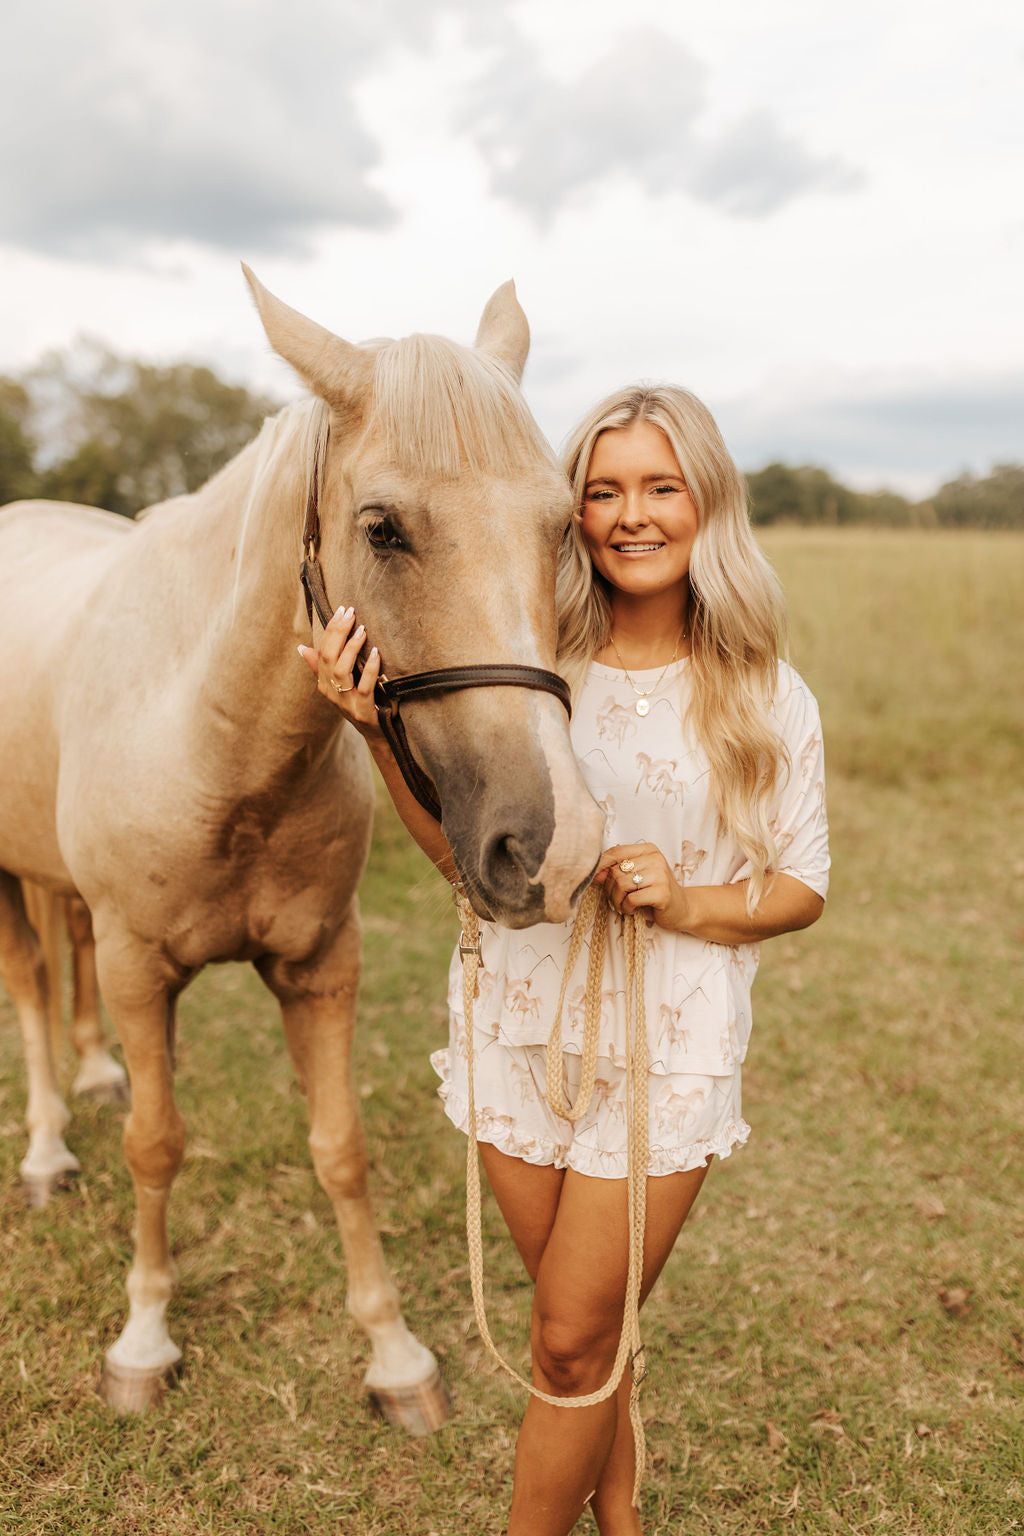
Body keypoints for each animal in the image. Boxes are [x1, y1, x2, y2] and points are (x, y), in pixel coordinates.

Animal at [0, 273, 607, 1425]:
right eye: (384, 528)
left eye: (563, 526)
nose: (551, 849)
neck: (212, 741)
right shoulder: (140, 966)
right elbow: (157, 1145)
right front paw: (143, 1340)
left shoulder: (322, 966)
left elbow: (340, 1149)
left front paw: (395, 1357)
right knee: (31, 985)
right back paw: (51, 1146)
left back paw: (95, 1079)